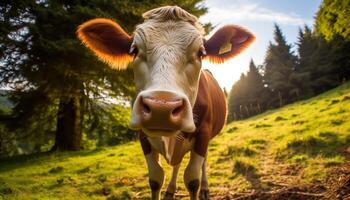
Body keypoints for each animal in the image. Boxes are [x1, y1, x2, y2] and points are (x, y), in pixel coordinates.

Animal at [77, 5, 254, 199]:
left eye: (200, 53)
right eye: (134, 50)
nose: (161, 109)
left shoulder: (204, 134)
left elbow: (193, 180)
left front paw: (199, 186)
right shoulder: (143, 135)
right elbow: (155, 179)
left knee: (203, 162)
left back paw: (205, 188)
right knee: (177, 163)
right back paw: (170, 189)